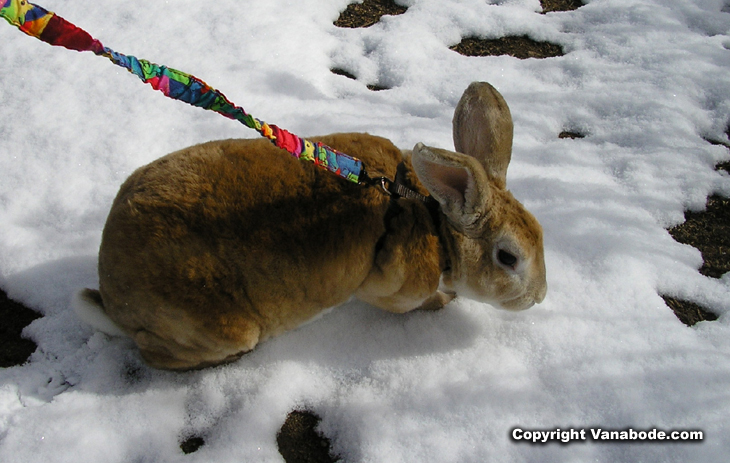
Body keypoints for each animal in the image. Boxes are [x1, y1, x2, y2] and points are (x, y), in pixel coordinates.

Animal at [74, 81, 544, 372]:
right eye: (508, 257)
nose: (539, 298)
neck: (430, 217)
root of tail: (110, 296)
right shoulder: (388, 291)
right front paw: (445, 301)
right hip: (223, 328)